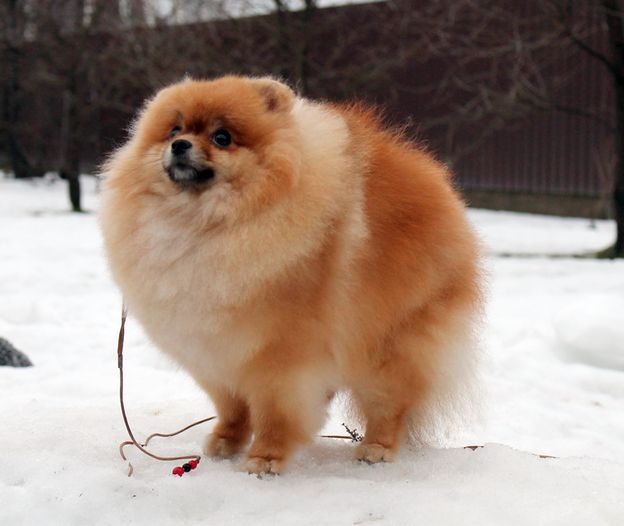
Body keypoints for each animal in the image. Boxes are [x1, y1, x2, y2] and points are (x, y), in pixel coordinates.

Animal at [99, 76, 481, 475]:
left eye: (222, 137)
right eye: (175, 129)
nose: (180, 145)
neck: (207, 224)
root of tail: (439, 188)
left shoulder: (282, 358)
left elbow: (275, 414)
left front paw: (264, 458)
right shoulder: (216, 353)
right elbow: (232, 407)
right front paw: (226, 441)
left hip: (387, 345)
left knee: (388, 403)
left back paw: (376, 448)